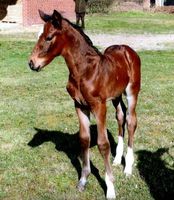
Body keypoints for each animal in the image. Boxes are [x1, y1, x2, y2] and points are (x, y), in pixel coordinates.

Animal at [28, 10, 140, 198]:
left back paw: (128, 168)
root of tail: (127, 49)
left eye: (49, 37)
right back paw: (118, 159)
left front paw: (110, 188)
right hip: (116, 96)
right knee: (120, 116)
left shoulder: (99, 106)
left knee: (131, 121)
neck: (84, 71)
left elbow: (103, 144)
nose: (31, 63)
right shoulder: (80, 106)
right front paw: (83, 180)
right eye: (38, 35)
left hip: (132, 92)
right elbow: (84, 139)